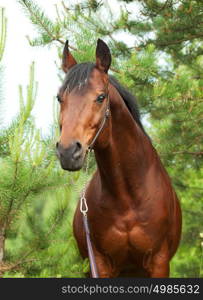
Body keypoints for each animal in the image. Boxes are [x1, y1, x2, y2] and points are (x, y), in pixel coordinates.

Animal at [56, 38, 182, 278]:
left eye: (100, 97)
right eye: (59, 98)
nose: (67, 152)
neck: (128, 199)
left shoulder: (159, 263)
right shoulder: (100, 264)